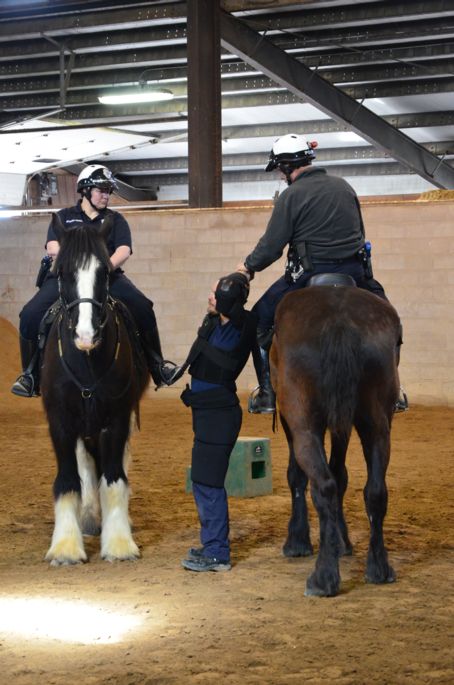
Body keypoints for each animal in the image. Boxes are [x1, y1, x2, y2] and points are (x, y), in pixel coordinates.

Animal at [40, 216, 149, 564]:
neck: (87, 360)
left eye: (105, 272)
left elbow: (113, 479)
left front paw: (119, 544)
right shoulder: (60, 422)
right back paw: (88, 517)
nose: (86, 336)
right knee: (85, 466)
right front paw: (65, 547)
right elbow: (68, 480)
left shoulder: (115, 419)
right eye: (62, 272)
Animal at [270, 280, 400, 596]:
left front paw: (298, 541)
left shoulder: (290, 418)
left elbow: (299, 476)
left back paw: (323, 577)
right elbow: (341, 474)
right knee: (375, 491)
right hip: (376, 424)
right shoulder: (344, 421)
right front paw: (342, 541)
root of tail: (339, 321)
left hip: (303, 425)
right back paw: (379, 569)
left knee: (323, 486)